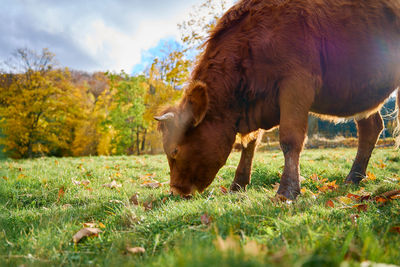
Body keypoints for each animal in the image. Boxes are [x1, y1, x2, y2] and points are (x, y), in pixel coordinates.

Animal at [155, 0, 400, 200]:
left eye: (175, 151)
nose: (175, 191)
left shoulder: (295, 86)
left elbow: (290, 139)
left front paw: (287, 191)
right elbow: (250, 145)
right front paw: (238, 185)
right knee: (371, 127)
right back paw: (353, 178)